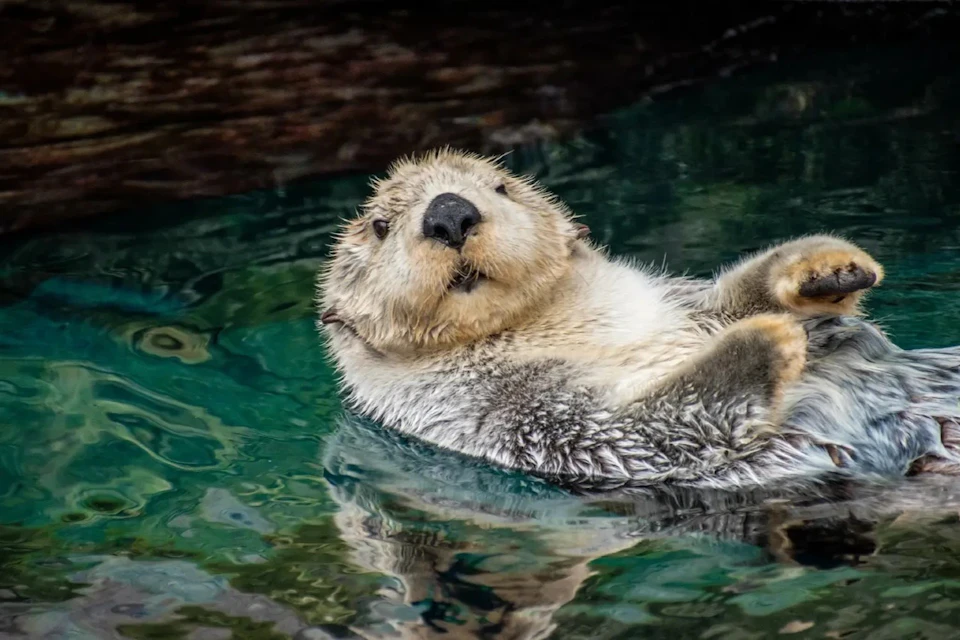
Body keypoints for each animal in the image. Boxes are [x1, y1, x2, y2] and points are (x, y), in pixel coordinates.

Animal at [318, 148, 960, 490]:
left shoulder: (683, 307)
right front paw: (766, 338)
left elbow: (733, 297)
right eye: (380, 225)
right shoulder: (514, 417)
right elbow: (649, 428)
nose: (450, 212)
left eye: (499, 187)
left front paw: (827, 269)